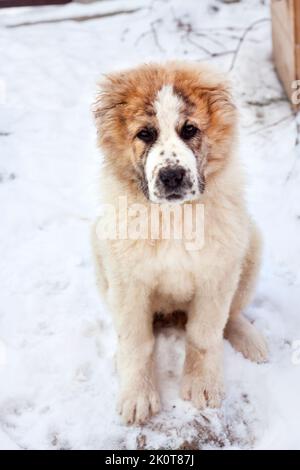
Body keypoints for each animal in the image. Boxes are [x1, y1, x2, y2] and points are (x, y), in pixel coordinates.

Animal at [91, 60, 268, 424]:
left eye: (189, 130)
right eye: (145, 134)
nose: (172, 176)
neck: (173, 217)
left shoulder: (217, 274)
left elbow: (204, 334)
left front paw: (203, 386)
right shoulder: (128, 281)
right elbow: (137, 342)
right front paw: (138, 395)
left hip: (251, 244)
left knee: (232, 315)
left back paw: (250, 339)